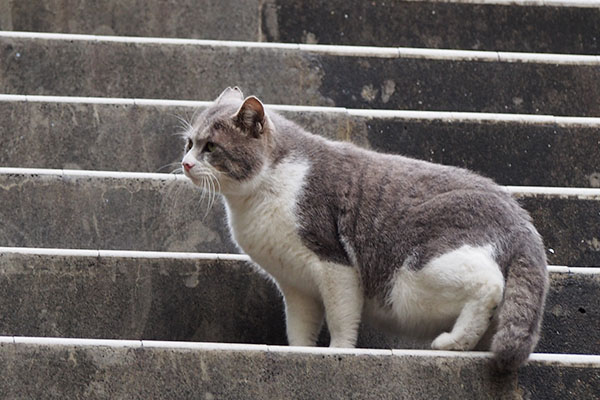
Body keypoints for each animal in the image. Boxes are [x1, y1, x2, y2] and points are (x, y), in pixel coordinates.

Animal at [182, 86, 548, 374]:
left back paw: (452, 342)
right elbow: (299, 328)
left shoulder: (334, 262)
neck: (257, 197)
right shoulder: (296, 286)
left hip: (416, 276)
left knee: (490, 285)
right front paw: (301, 351)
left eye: (210, 147)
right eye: (189, 143)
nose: (185, 163)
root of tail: (522, 221)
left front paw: (339, 351)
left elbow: (342, 316)